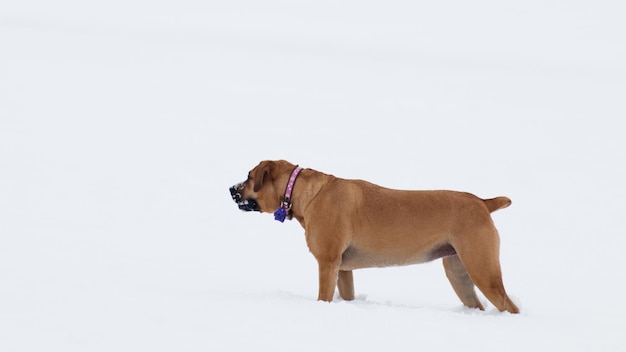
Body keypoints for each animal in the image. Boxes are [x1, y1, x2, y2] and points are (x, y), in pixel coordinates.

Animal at [229, 160, 516, 314]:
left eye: (249, 176)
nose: (231, 189)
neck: (301, 192)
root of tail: (482, 202)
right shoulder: (343, 270)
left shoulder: (327, 263)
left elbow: (323, 296)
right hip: (459, 272)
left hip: (482, 268)